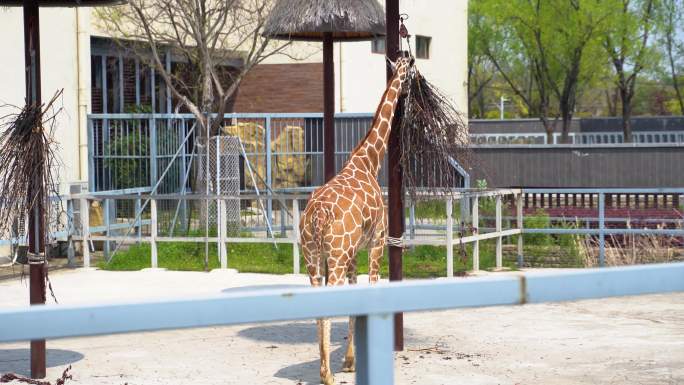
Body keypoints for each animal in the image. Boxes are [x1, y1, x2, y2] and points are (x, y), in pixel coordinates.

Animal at [298, 56, 412, 384]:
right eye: (411, 72)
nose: (410, 87)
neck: (368, 161)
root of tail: (317, 216)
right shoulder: (376, 243)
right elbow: (370, 288)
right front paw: (355, 360)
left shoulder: (350, 255)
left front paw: (349, 361)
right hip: (334, 257)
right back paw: (326, 375)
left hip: (313, 256)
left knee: (316, 300)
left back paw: (323, 369)